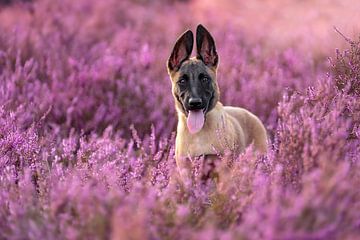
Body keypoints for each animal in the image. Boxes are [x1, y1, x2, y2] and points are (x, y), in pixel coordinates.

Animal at [167, 24, 268, 181]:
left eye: (205, 79)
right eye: (182, 81)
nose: (195, 103)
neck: (199, 133)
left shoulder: (223, 172)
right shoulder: (187, 172)